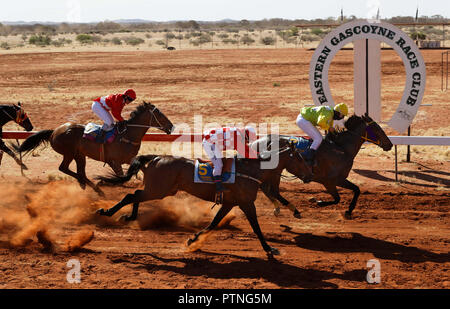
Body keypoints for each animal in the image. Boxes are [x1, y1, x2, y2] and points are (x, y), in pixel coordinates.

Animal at [13, 101, 172, 195]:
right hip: (69, 153)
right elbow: (121, 177)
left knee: (80, 172)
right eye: (159, 114)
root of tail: (54, 131)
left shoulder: (130, 159)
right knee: (64, 168)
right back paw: (92, 186)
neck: (127, 135)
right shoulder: (114, 161)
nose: (170, 126)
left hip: (79, 155)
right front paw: (106, 181)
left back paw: (89, 186)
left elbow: (141, 170)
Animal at [96, 143, 310, 258]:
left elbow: (214, 223)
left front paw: (193, 240)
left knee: (135, 195)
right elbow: (257, 228)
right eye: (299, 158)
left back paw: (128, 217)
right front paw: (270, 249)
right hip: (158, 189)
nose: (308, 175)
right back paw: (107, 212)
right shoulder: (246, 203)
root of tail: (156, 158)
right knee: (131, 195)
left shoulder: (229, 203)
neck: (250, 171)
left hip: (161, 190)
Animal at [251, 113, 392, 219]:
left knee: (268, 189)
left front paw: (349, 211)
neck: (342, 149)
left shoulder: (340, 179)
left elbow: (356, 190)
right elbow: (338, 199)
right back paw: (293, 210)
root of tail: (256, 142)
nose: (389, 144)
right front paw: (318, 202)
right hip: (275, 171)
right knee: (271, 190)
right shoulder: (330, 181)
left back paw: (280, 208)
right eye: (377, 128)